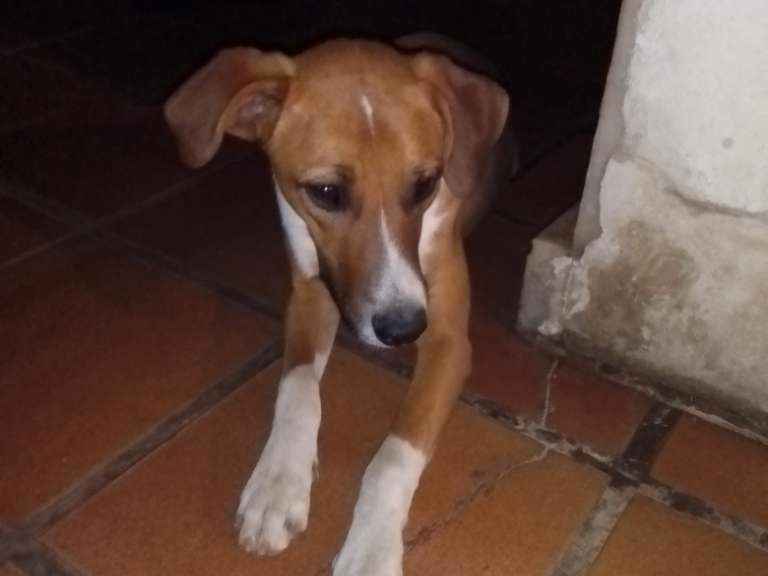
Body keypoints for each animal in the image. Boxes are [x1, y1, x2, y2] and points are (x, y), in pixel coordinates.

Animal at [164, 33, 515, 575]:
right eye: (326, 192)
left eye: (426, 184)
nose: (402, 329)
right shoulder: (308, 296)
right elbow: (298, 388)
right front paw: (277, 485)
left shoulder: (448, 341)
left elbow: (394, 455)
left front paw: (370, 549)